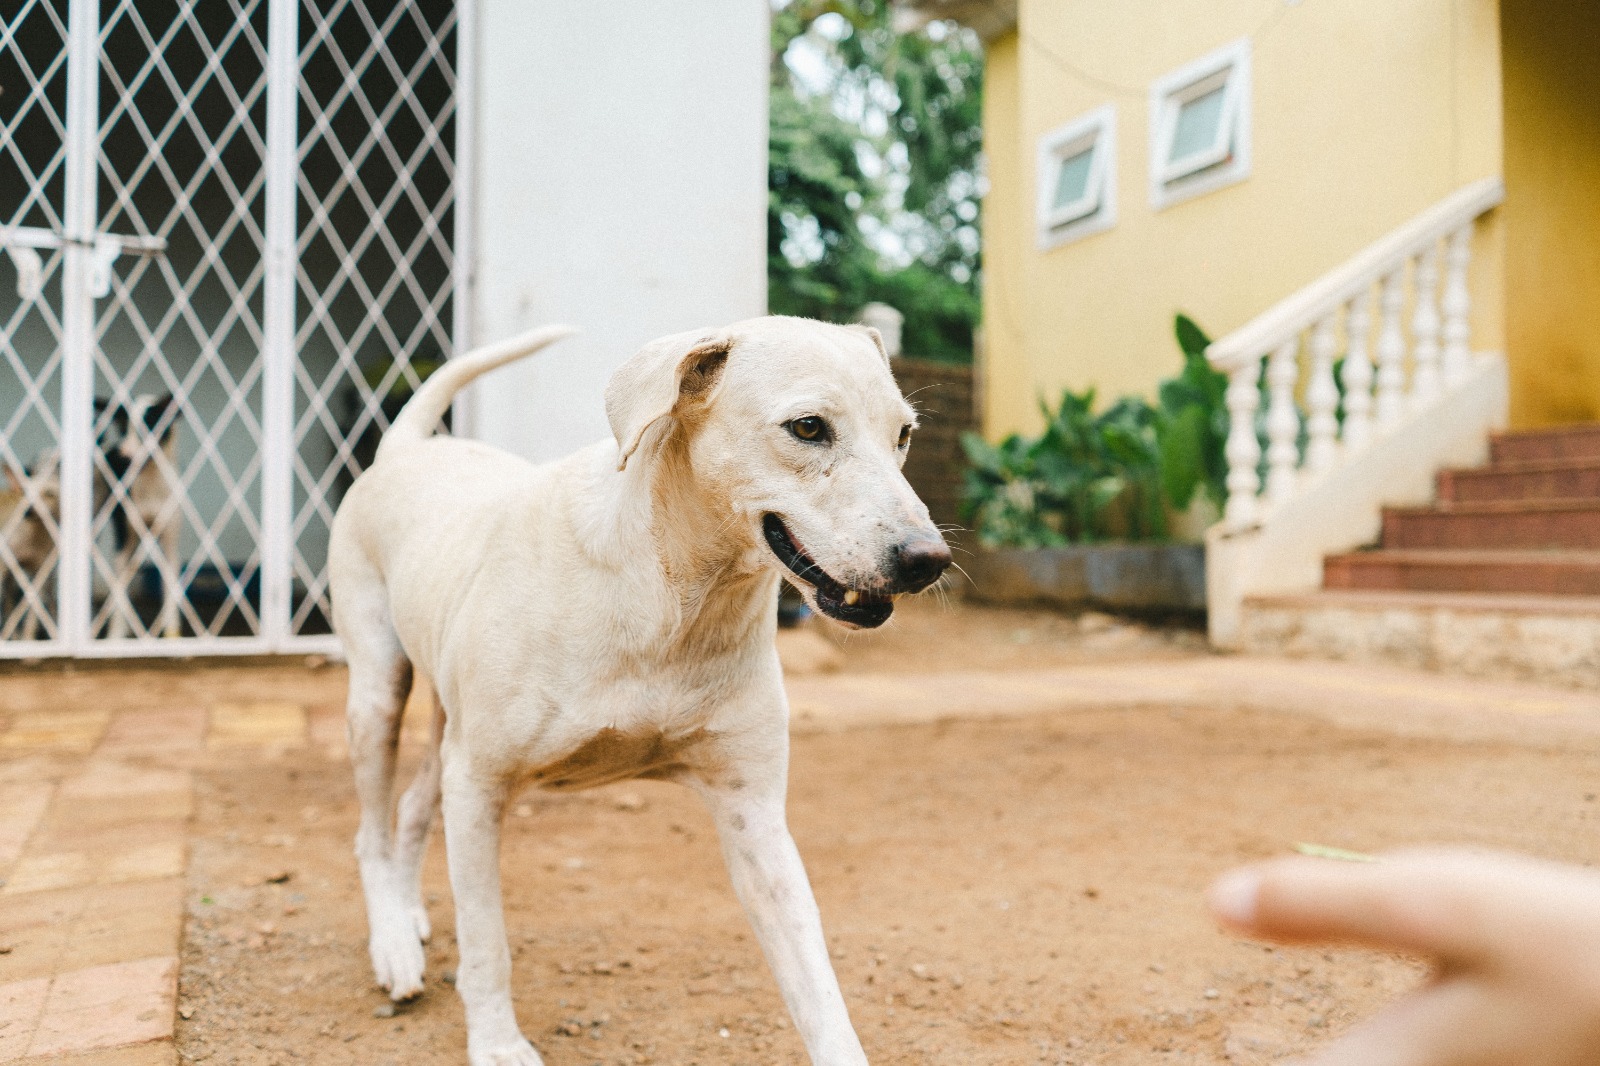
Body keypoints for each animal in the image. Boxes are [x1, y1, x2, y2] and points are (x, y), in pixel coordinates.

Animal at [326, 316, 947, 1062]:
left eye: (903, 434)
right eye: (807, 427)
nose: (928, 560)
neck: (674, 602)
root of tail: (408, 449)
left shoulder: (755, 818)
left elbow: (817, 986)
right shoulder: (480, 783)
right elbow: (486, 942)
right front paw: (499, 1042)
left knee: (416, 804)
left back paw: (408, 914)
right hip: (379, 694)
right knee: (371, 832)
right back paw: (392, 942)